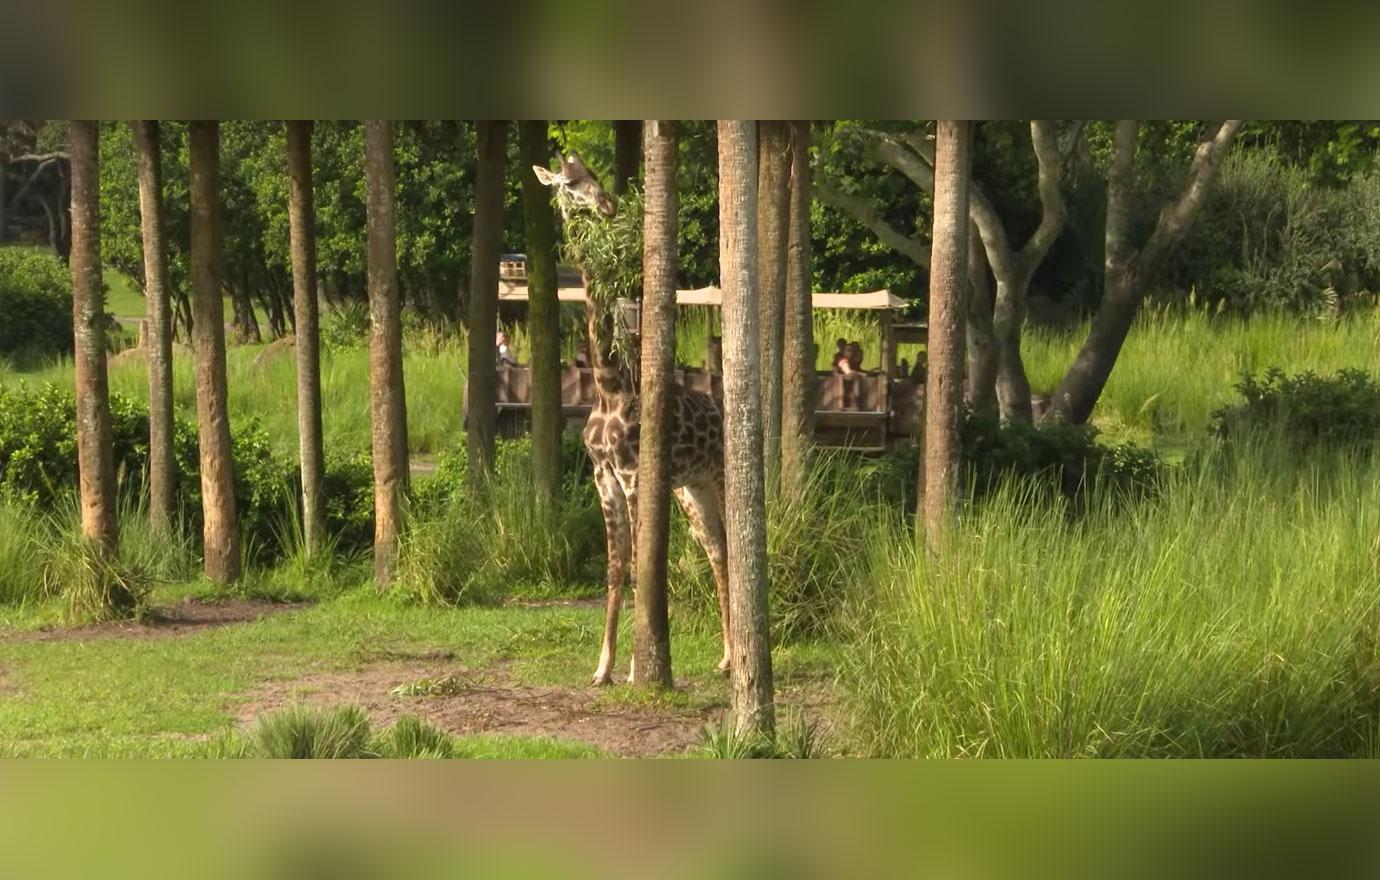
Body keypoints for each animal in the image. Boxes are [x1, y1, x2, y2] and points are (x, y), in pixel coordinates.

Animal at [535, 153, 739, 689]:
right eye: (569, 183)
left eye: (592, 175)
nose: (607, 204)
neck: (608, 387)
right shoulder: (602, 476)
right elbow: (616, 566)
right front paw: (602, 667)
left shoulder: (632, 475)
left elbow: (641, 563)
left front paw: (633, 668)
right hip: (690, 489)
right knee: (717, 550)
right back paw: (728, 658)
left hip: (718, 478)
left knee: (736, 547)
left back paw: (738, 657)